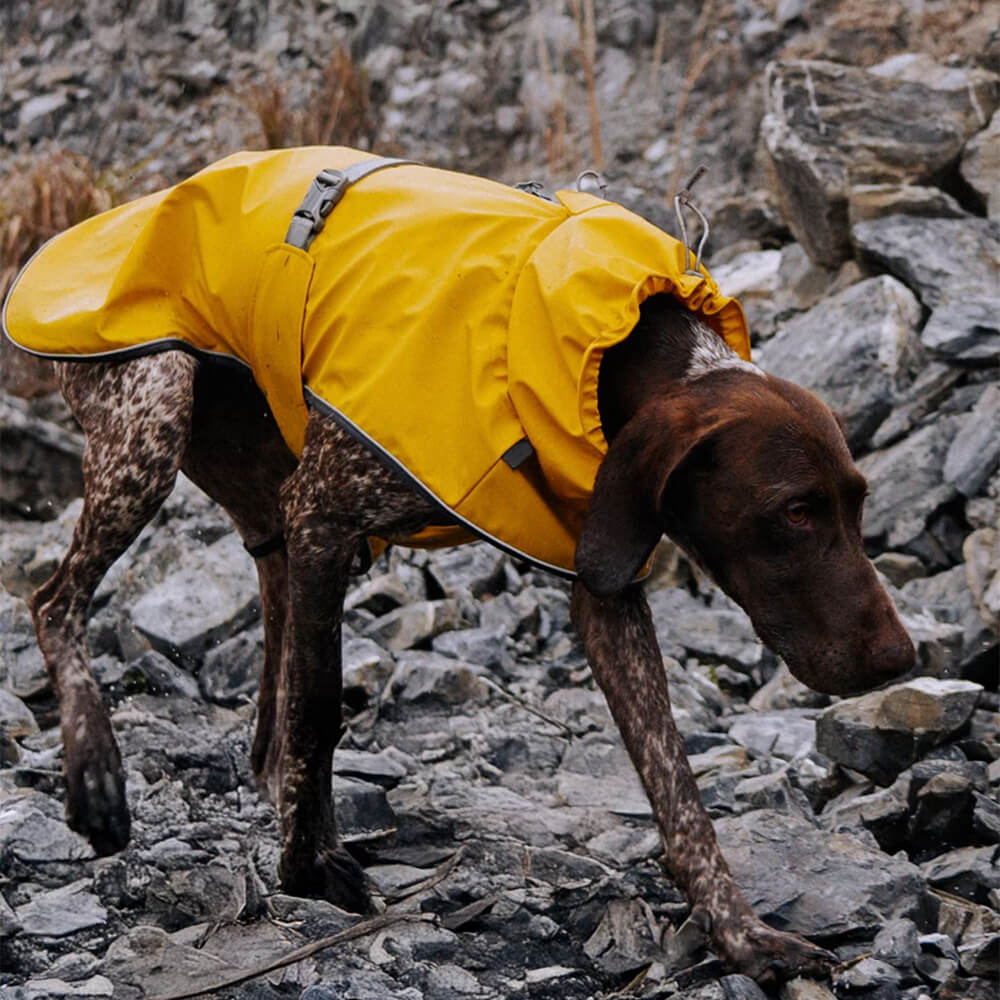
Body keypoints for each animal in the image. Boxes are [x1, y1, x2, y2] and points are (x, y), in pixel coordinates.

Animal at [3, 148, 916, 984]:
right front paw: (302, 869)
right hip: (151, 419)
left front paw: (740, 934)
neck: (606, 352)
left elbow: (676, 787)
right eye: (794, 511)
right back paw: (98, 775)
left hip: (264, 501)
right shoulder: (326, 515)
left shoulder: (603, 579)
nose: (899, 660)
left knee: (270, 709)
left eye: (857, 504)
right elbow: (320, 711)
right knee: (56, 603)